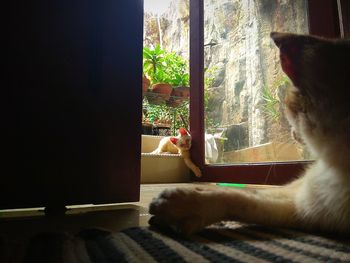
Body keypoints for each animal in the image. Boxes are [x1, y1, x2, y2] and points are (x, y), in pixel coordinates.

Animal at [148, 32, 350, 236]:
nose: (293, 133)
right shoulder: (301, 204)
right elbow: (242, 198)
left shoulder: (305, 206)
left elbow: (242, 197)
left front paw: (182, 206)